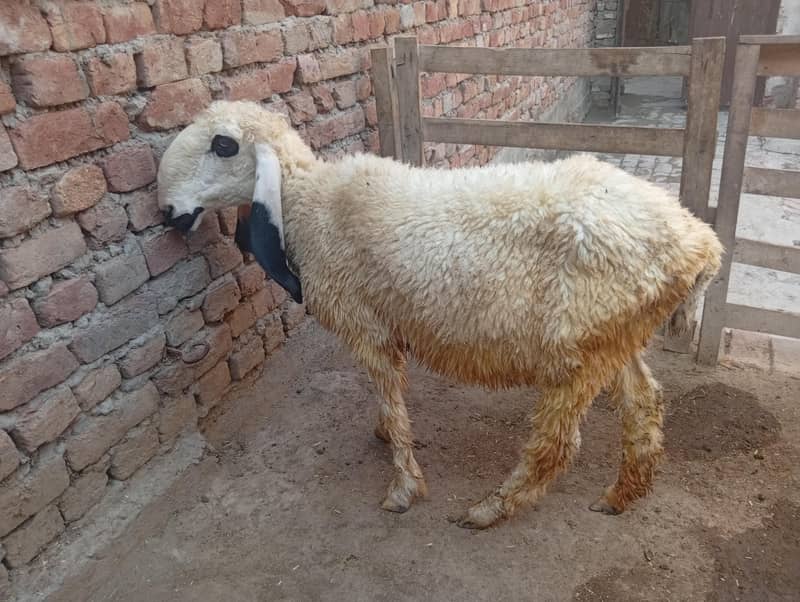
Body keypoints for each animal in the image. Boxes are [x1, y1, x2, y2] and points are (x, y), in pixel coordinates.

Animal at [157, 100, 723, 529]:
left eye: (224, 145)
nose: (168, 211)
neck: (310, 206)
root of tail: (699, 242)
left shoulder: (367, 326)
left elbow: (390, 398)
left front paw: (403, 485)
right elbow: (388, 400)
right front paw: (386, 439)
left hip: (579, 351)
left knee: (557, 445)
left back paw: (491, 509)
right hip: (615, 336)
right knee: (645, 404)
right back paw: (622, 495)